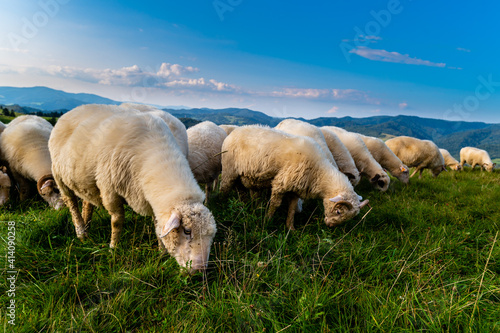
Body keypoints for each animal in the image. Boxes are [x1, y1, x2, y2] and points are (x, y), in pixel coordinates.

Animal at [48, 105, 217, 274]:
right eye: (187, 231)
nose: (200, 269)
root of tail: (74, 110)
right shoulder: (109, 189)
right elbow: (117, 221)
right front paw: (113, 248)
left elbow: (158, 227)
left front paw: (161, 253)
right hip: (59, 175)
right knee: (71, 202)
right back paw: (81, 232)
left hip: (87, 183)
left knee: (87, 202)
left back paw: (87, 225)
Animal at [221, 125, 370, 231]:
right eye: (338, 211)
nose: (330, 226)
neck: (319, 172)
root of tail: (234, 131)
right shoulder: (281, 183)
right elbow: (275, 204)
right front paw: (267, 220)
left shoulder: (295, 189)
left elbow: (292, 209)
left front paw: (290, 228)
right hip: (229, 170)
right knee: (224, 188)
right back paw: (221, 206)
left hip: (248, 176)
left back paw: (249, 207)